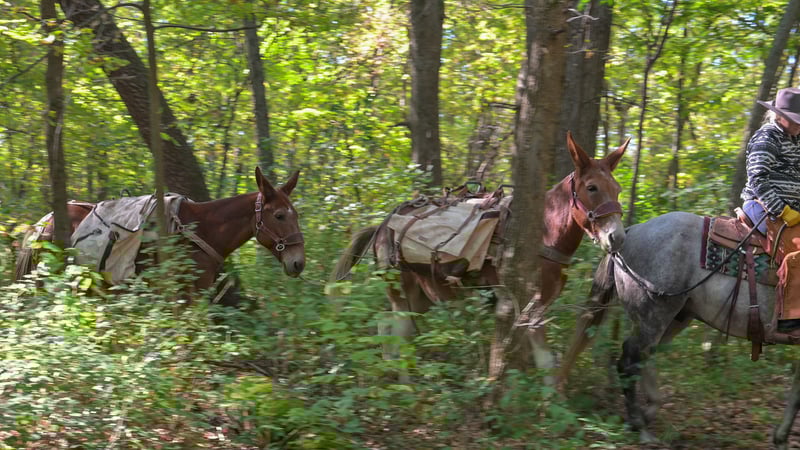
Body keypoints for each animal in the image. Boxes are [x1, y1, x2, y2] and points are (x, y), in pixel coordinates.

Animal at [331, 132, 629, 381]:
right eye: (591, 188)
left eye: (617, 189)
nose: (617, 237)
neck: (545, 234)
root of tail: (381, 227)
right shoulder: (525, 306)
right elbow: (540, 359)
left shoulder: (540, 306)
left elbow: (545, 360)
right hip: (400, 289)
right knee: (398, 332)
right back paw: (404, 387)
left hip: (422, 295)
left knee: (390, 327)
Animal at [556, 210, 800, 449]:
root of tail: (631, 232)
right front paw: (781, 437)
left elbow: (796, 391)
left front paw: (780, 438)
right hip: (654, 316)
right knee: (630, 361)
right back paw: (639, 426)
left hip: (676, 318)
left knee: (645, 355)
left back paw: (648, 411)